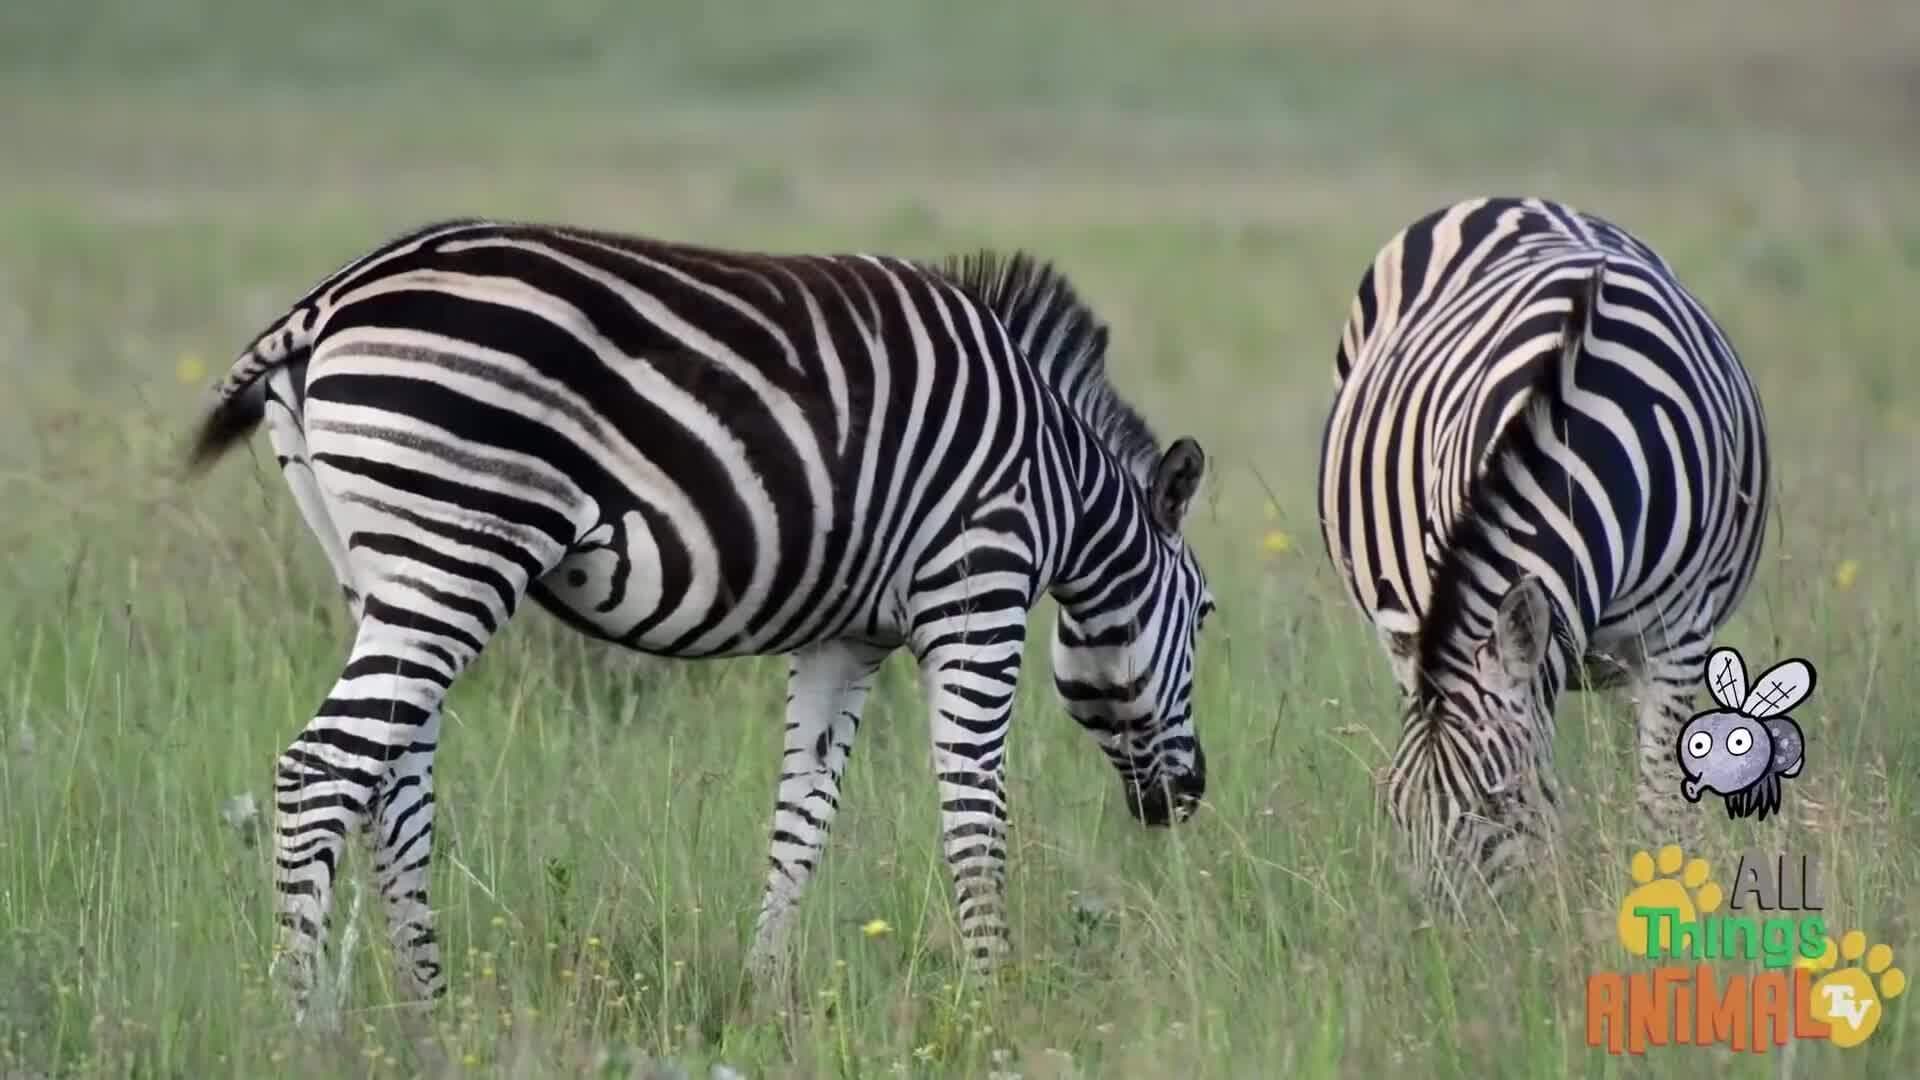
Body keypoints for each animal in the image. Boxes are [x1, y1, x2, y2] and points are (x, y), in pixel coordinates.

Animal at [180, 218, 1215, 1018]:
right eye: (1205, 616)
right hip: (459, 551)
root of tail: (329, 299)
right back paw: (308, 1026)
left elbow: (802, 818)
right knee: (321, 773)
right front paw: (995, 998)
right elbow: (975, 812)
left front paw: (765, 999)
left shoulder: (847, 637)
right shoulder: (977, 587)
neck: (1063, 485)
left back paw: (428, 1017)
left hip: (380, 570)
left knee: (392, 786)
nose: (1189, 799)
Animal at [1315, 196, 1770, 909]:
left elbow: (1662, 806)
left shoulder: (1680, 639)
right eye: (1395, 810)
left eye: (1501, 803)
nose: (1435, 933)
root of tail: (1502, 200)